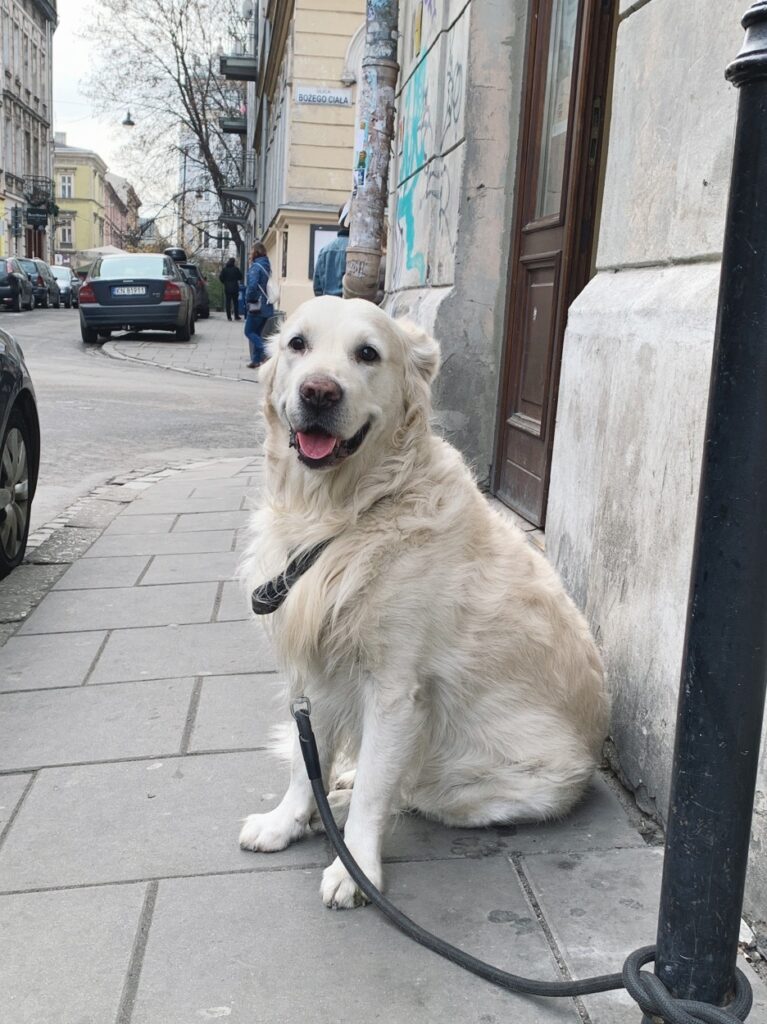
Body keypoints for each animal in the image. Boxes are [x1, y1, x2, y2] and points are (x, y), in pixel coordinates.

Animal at [236, 296, 606, 913]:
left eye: (367, 353)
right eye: (297, 344)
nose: (318, 392)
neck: (343, 515)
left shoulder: (393, 689)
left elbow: (374, 793)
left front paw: (355, 869)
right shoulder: (317, 673)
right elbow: (305, 765)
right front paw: (286, 821)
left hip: (492, 783)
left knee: (410, 789)